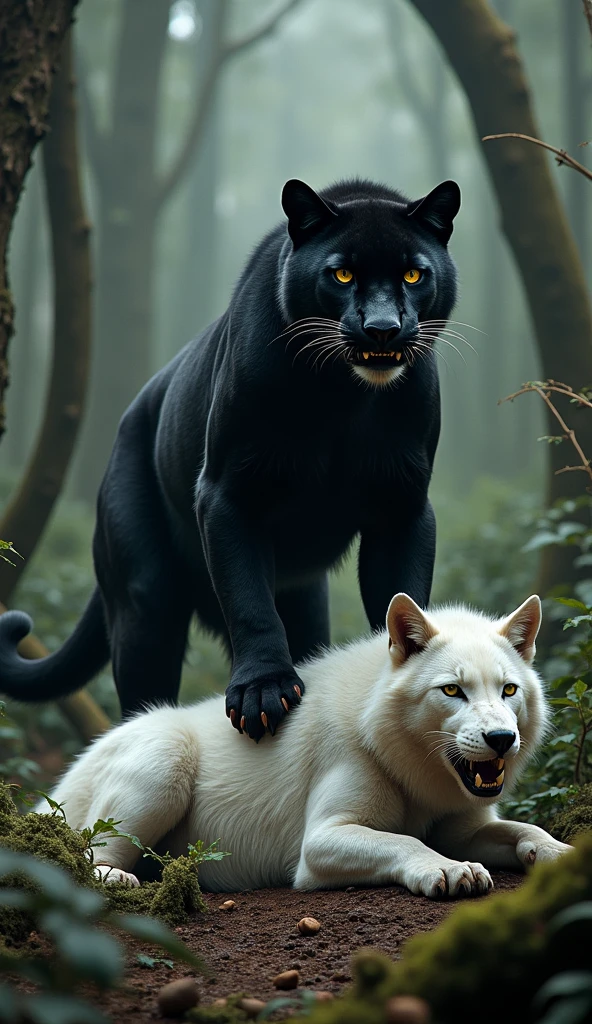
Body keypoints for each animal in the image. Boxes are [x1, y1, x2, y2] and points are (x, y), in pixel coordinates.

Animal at [42, 593, 569, 898]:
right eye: (453, 690)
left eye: (507, 690)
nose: (501, 739)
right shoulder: (319, 842)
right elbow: (406, 840)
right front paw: (449, 870)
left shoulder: (465, 828)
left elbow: (526, 830)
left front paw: (561, 853)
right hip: (165, 766)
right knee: (83, 857)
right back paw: (116, 879)